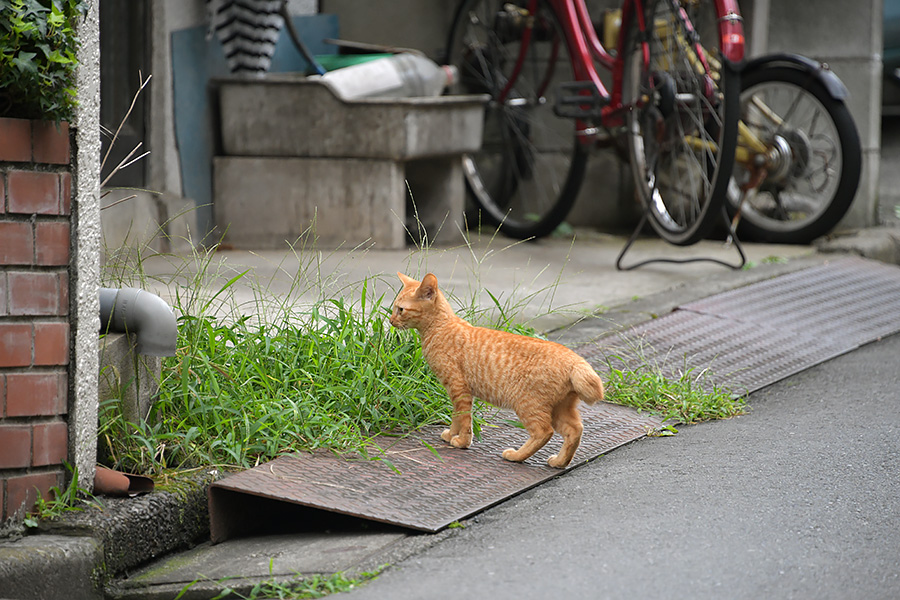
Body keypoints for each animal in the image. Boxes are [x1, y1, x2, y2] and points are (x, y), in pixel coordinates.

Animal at [388, 272, 604, 468]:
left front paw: (461, 441)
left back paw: (516, 456)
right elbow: (457, 416)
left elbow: (463, 419)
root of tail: (576, 360)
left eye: (401, 309)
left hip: (528, 404)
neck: (440, 328)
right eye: (394, 309)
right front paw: (451, 434)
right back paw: (559, 462)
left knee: (544, 431)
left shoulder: (458, 387)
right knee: (575, 430)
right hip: (560, 408)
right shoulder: (457, 391)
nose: (390, 321)